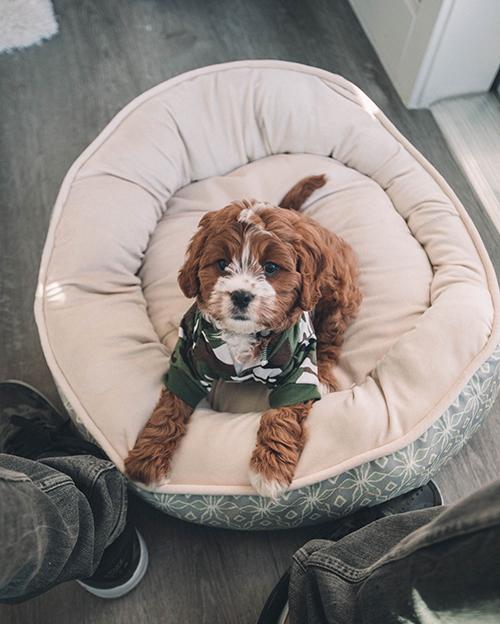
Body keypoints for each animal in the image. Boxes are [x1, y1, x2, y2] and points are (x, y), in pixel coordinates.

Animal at [123, 176, 362, 498]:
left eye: (271, 267)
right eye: (222, 263)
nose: (240, 295)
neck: (242, 335)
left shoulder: (297, 370)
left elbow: (282, 415)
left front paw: (270, 469)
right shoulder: (188, 359)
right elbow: (170, 406)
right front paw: (148, 459)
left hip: (337, 296)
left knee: (330, 341)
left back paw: (323, 375)